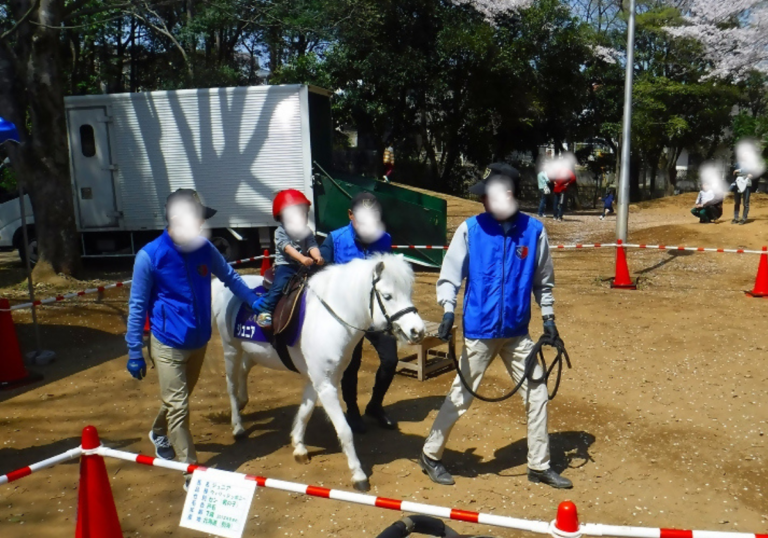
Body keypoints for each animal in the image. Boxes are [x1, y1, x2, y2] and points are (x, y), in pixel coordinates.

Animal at [212, 253, 426, 488]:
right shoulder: (326, 385)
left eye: (409, 292)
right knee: (231, 386)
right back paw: (238, 426)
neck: (330, 319)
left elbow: (305, 412)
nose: (418, 331)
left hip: (252, 351)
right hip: (231, 349)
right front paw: (358, 474)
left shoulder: (317, 379)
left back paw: (243, 402)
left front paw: (299, 447)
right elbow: (344, 429)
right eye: (387, 296)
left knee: (244, 370)